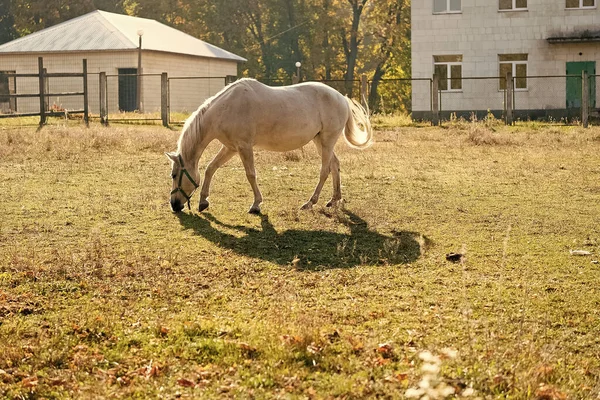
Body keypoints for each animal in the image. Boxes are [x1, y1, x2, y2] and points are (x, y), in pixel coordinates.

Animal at [168, 79, 370, 216]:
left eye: (174, 175)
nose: (174, 204)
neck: (226, 108)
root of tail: (341, 98)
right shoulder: (231, 147)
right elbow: (211, 168)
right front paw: (203, 202)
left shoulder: (244, 147)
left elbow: (250, 174)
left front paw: (256, 205)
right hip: (320, 141)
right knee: (335, 165)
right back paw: (334, 200)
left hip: (327, 141)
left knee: (325, 170)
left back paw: (310, 203)